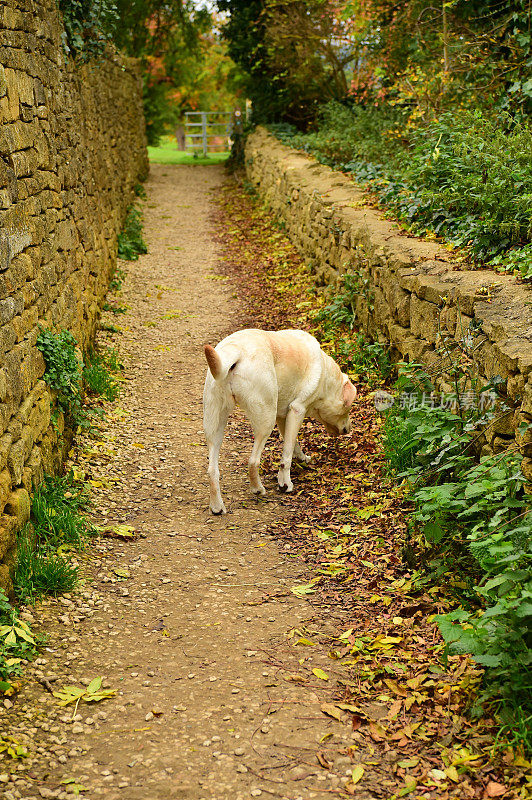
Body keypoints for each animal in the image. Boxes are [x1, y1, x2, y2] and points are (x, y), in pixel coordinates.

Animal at [202, 328, 356, 516]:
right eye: (348, 409)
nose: (349, 429)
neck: (325, 378)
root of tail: (236, 350)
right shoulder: (297, 410)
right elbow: (286, 455)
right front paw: (285, 483)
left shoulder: (283, 417)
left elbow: (294, 444)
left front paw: (302, 458)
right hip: (265, 420)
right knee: (253, 461)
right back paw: (257, 489)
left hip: (215, 425)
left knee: (212, 470)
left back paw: (217, 506)